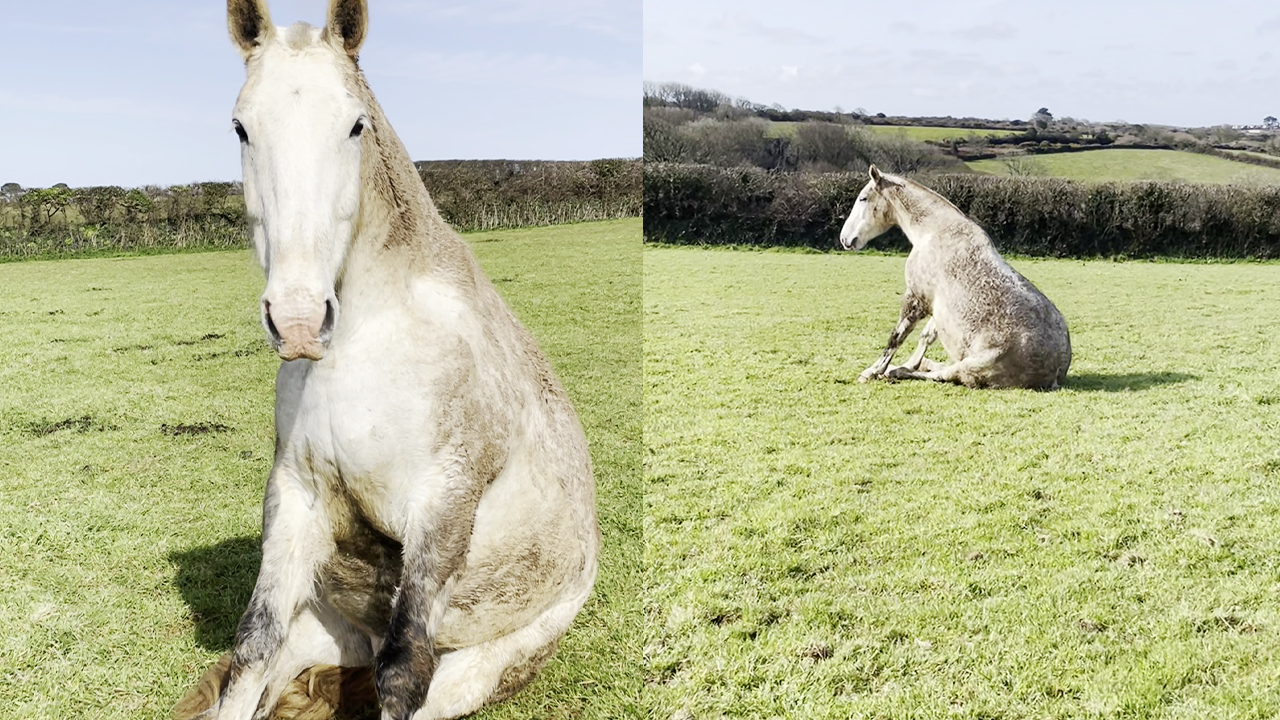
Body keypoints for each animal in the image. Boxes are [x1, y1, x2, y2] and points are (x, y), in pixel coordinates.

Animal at [174, 1, 601, 718]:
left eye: (355, 124)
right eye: (241, 127)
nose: (297, 319)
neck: (363, 343)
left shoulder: (442, 504)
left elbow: (402, 668)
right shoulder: (295, 497)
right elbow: (250, 650)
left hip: (478, 668)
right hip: (318, 628)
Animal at [838, 166, 1071, 390]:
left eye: (863, 198)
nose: (844, 239)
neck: (934, 232)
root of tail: (1055, 374)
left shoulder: (917, 298)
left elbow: (897, 337)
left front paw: (873, 371)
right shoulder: (935, 307)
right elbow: (926, 336)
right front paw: (908, 363)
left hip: (970, 367)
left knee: (942, 375)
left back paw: (897, 371)